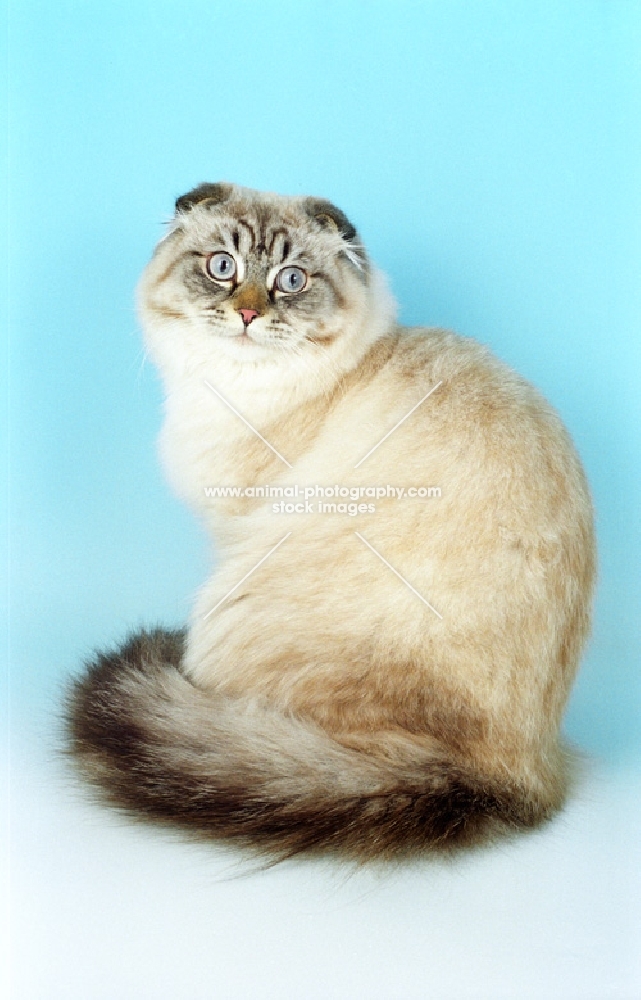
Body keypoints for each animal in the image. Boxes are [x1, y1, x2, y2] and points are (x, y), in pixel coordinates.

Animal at [66, 184, 596, 856]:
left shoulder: (235, 526)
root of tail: (512, 772)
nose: (247, 314)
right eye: (222, 267)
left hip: (235, 595)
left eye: (290, 280)